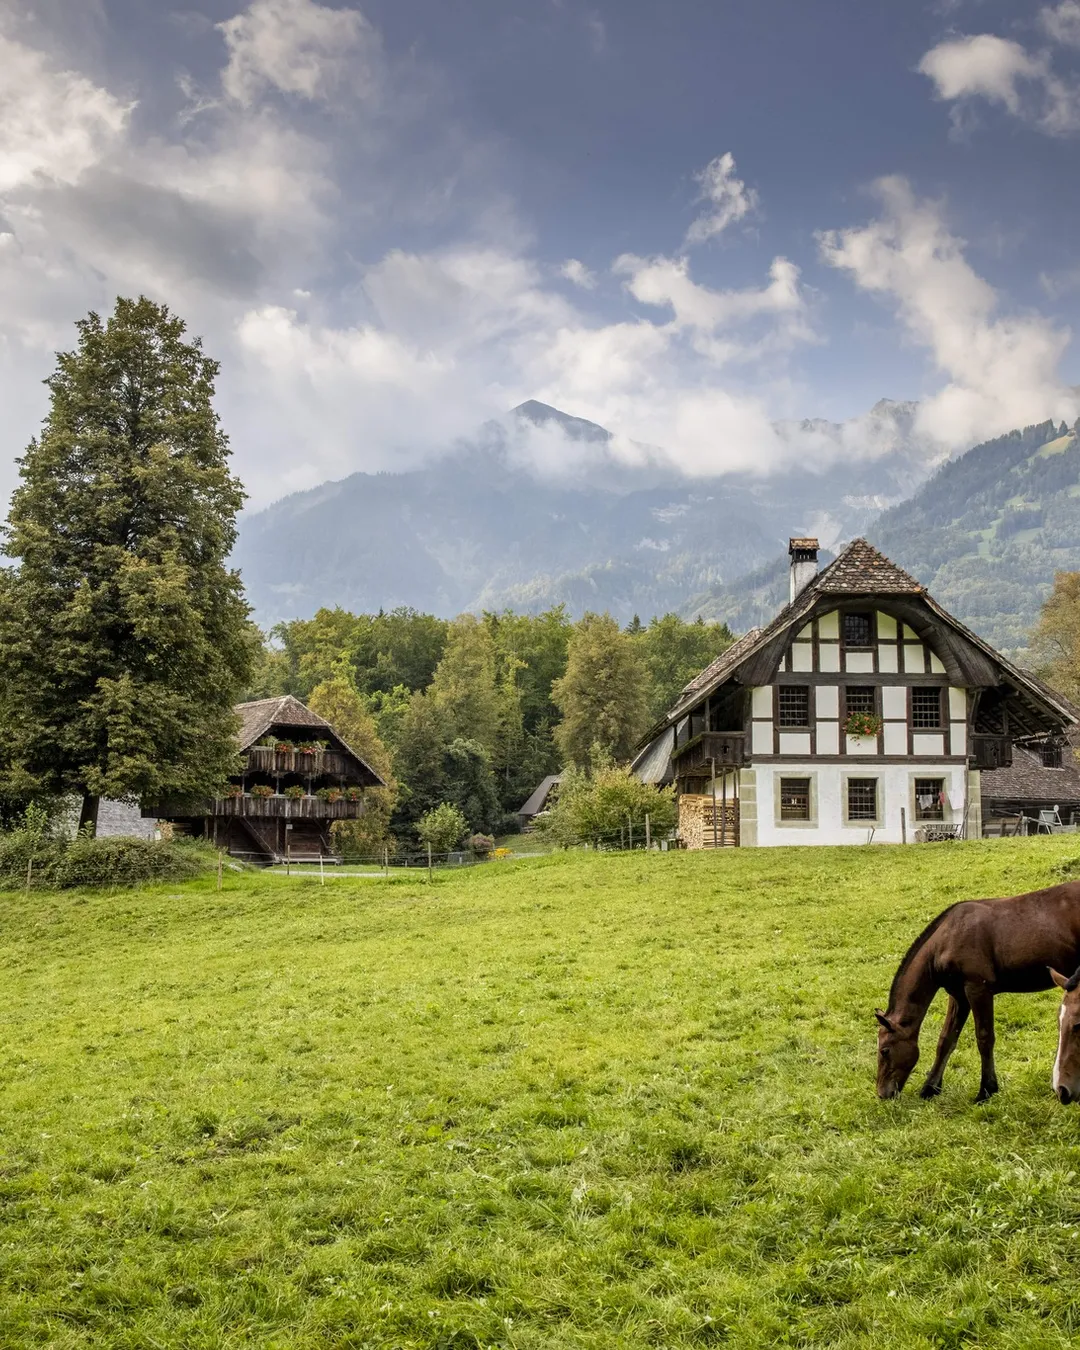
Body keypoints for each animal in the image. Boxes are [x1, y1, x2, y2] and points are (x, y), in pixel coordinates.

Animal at [874, 880, 1080, 1101]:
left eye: (884, 1050)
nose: (882, 1093)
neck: (947, 938)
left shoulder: (978, 989)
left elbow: (984, 1038)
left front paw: (986, 1089)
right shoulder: (958, 996)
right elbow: (946, 1040)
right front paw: (930, 1087)